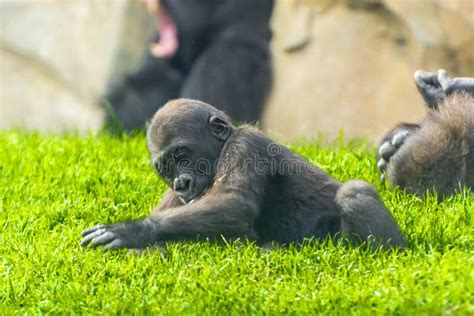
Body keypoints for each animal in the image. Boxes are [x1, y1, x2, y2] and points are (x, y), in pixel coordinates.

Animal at [79, 99, 406, 252]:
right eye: (167, 169)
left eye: (183, 157)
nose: (181, 183)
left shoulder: (245, 145)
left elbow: (234, 203)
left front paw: (133, 229)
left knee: (354, 192)